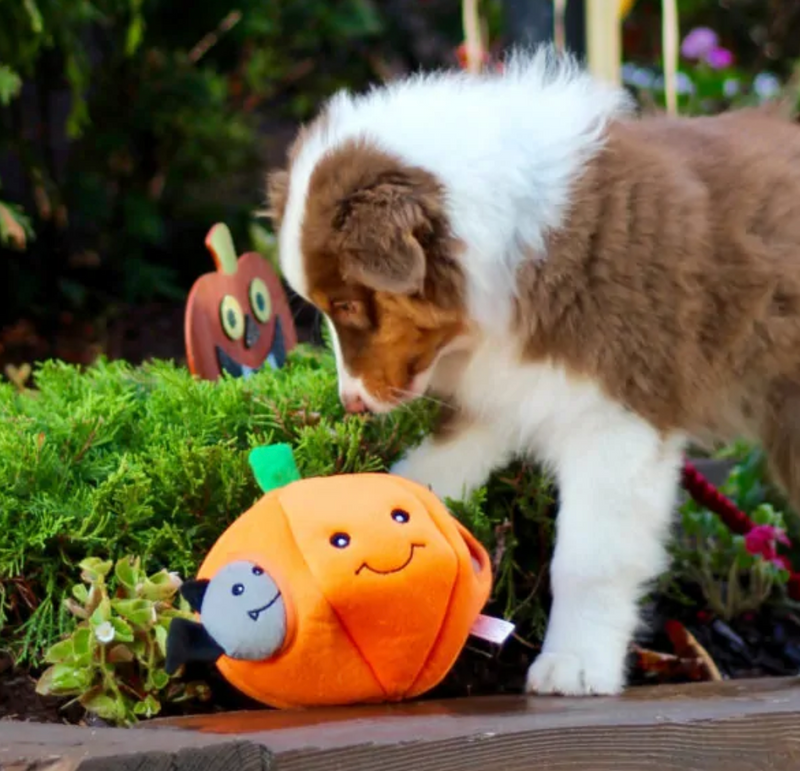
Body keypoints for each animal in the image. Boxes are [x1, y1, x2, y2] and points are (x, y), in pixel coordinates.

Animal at [266, 48, 800, 700]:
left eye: (344, 305)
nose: (353, 405)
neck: (521, 243)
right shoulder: (503, 392)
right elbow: (427, 477)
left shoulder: (617, 419)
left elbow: (589, 559)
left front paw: (576, 663)